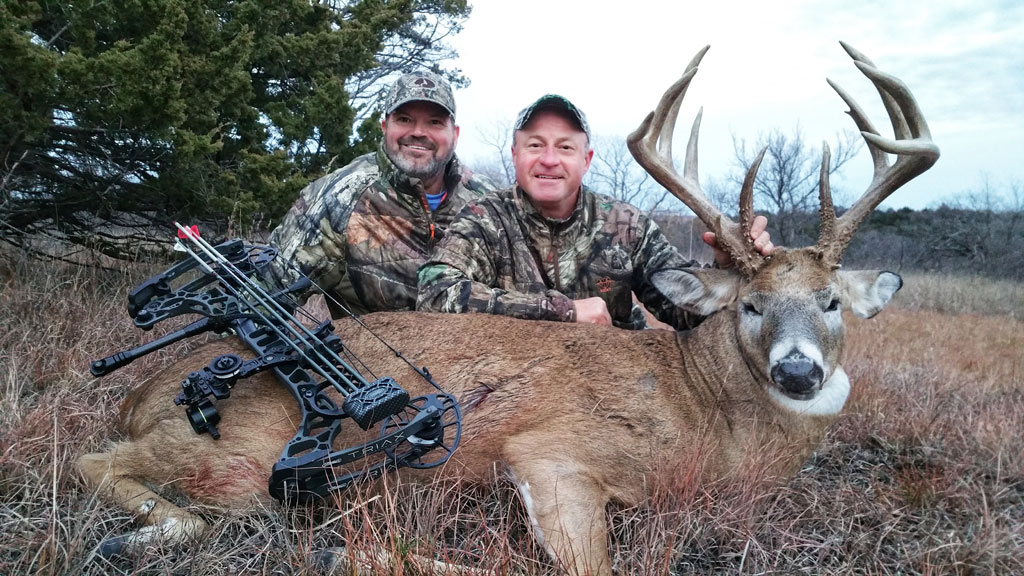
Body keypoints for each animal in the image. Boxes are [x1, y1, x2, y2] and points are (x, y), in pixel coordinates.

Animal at [75, 42, 937, 569]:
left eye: (831, 301)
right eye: (751, 306)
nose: (799, 371)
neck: (706, 414)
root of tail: (139, 393)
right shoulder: (552, 453)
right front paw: (346, 552)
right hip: (235, 459)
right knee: (107, 465)